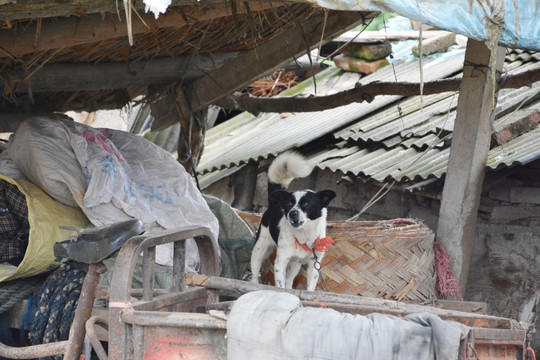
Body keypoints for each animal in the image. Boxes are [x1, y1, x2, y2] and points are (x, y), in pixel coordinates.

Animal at [251, 151, 336, 290]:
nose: (292, 213)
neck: (304, 236)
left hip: (295, 264)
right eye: (289, 203)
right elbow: (280, 286)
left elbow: (309, 288)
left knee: (289, 281)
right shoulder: (280, 263)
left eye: (306, 204)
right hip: (259, 251)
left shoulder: (314, 265)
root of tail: (274, 203)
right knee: (253, 275)